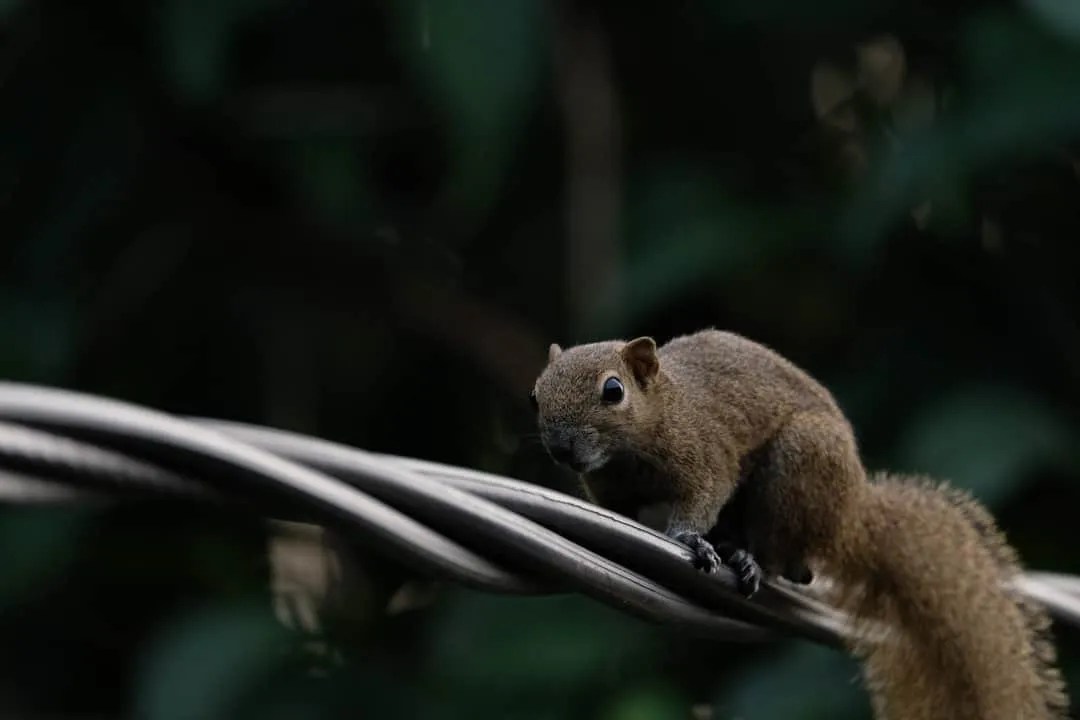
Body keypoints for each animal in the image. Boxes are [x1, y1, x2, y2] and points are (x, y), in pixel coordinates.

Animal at [529, 328, 1068, 720]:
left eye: (613, 390)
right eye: (536, 393)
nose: (560, 447)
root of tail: (850, 518)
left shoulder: (706, 453)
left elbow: (703, 496)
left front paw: (688, 539)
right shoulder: (611, 489)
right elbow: (620, 513)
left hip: (799, 467)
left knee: (783, 555)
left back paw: (750, 559)